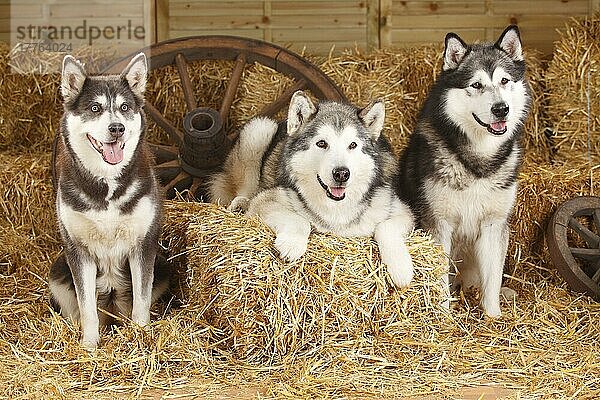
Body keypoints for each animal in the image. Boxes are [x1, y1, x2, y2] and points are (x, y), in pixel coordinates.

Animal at [49, 53, 169, 346]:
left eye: (125, 107)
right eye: (95, 108)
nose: (117, 128)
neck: (107, 183)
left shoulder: (143, 245)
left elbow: (141, 302)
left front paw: (140, 338)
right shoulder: (77, 250)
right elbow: (87, 308)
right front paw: (89, 346)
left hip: (162, 266)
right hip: (57, 271)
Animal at [209, 92, 414, 286]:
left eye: (353, 145)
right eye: (322, 143)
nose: (341, 174)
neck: (336, 207)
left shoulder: (402, 210)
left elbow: (385, 227)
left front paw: (401, 268)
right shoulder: (266, 199)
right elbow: (301, 221)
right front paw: (292, 244)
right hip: (259, 130)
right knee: (245, 189)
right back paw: (240, 204)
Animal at [398, 26, 528, 318]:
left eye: (504, 81)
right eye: (476, 85)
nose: (501, 109)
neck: (477, 161)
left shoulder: (494, 224)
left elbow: (493, 279)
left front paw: (493, 317)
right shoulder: (438, 224)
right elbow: (438, 277)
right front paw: (443, 317)